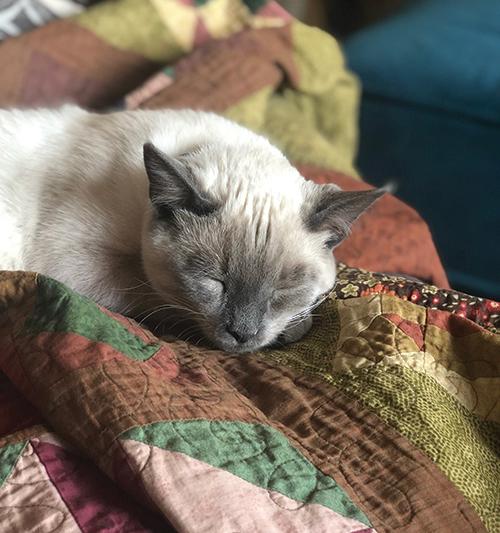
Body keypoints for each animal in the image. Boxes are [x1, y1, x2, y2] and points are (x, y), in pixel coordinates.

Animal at [0, 105, 384, 352]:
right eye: (215, 282)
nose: (243, 334)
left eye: (283, 290)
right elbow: (159, 297)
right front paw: (293, 329)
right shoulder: (79, 265)